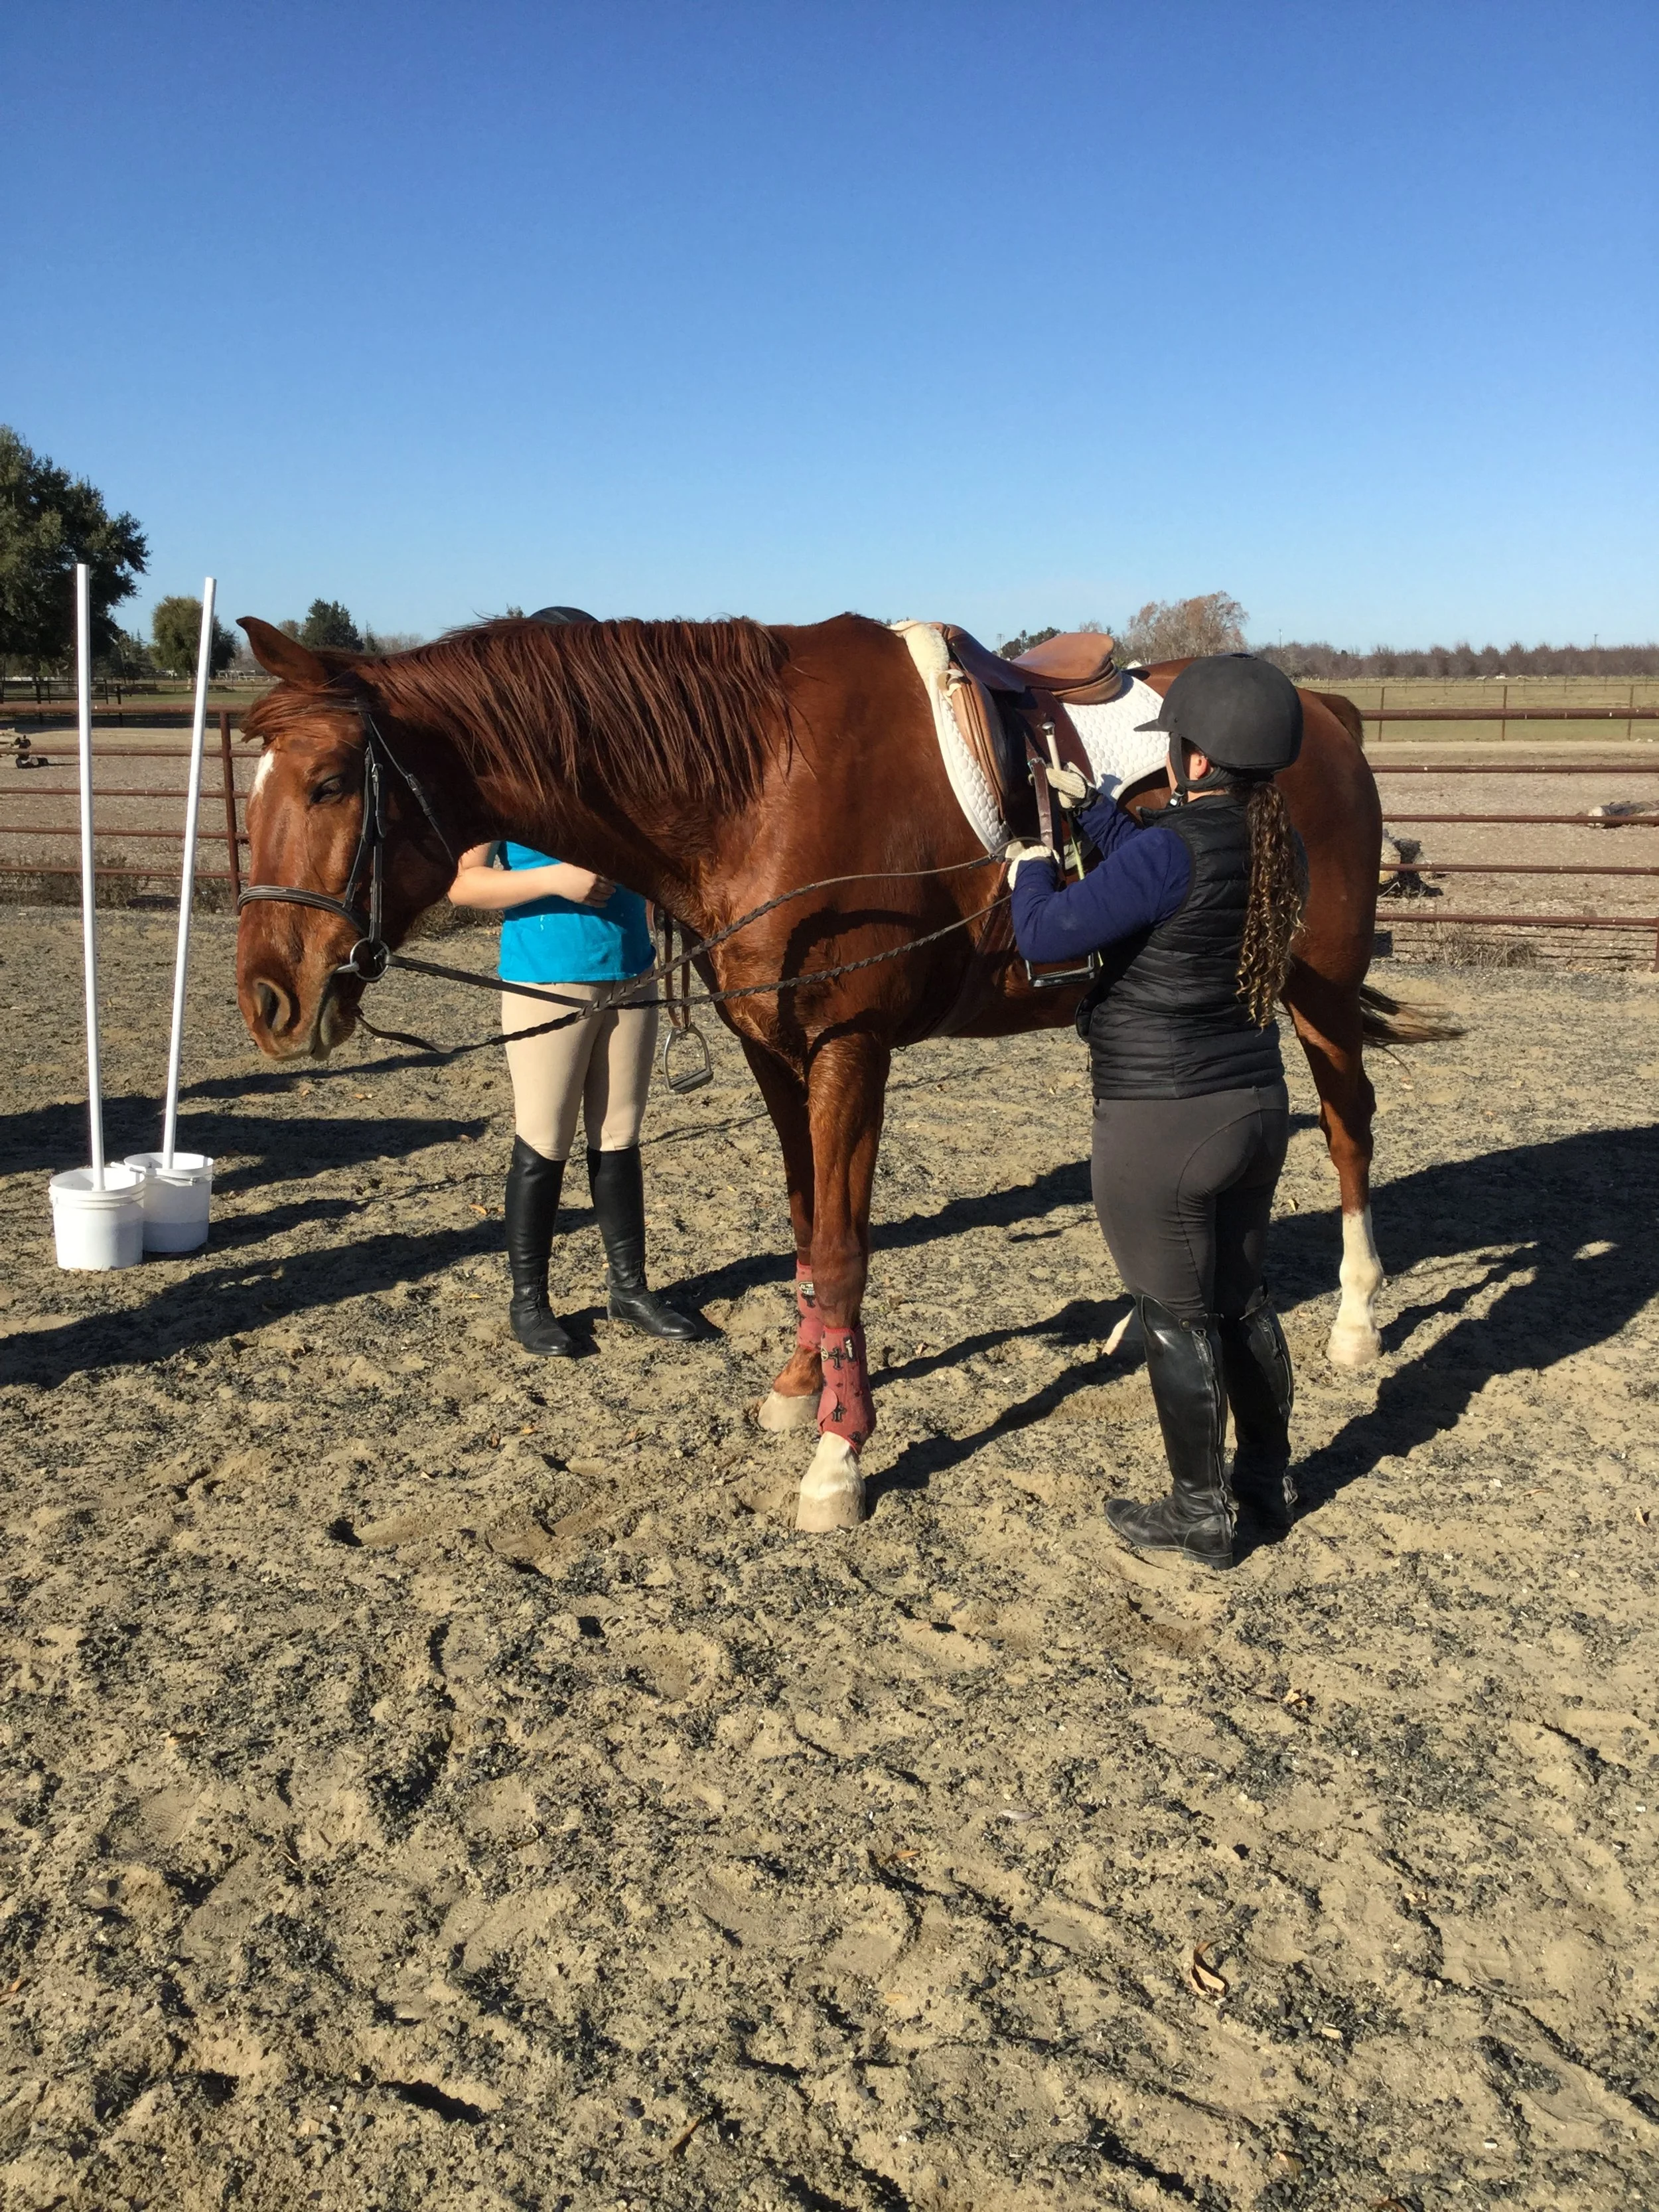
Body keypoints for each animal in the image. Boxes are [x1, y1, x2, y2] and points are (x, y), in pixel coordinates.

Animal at [234, 612, 1432, 1532]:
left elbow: (848, 1254)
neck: (762, 782)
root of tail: (1327, 715)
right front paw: (800, 1387)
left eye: (331, 783)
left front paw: (837, 1458)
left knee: (1346, 1125)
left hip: (1318, 986)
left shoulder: (850, 1052)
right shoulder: (775, 1053)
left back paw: (1355, 1321)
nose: (267, 999)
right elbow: (808, 1234)